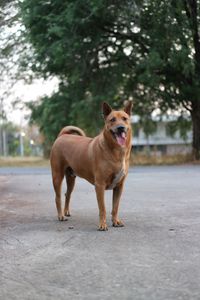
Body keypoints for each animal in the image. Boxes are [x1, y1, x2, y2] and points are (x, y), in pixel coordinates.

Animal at [50, 102, 132, 231]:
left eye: (125, 119)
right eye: (112, 119)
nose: (120, 127)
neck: (116, 151)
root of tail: (62, 136)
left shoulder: (119, 186)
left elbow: (115, 207)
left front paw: (115, 221)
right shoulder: (99, 185)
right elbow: (102, 208)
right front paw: (102, 224)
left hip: (71, 178)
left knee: (67, 194)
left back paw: (66, 211)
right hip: (57, 176)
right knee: (58, 197)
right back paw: (61, 215)